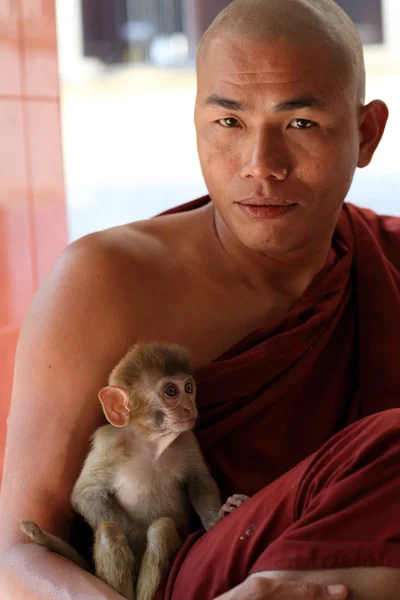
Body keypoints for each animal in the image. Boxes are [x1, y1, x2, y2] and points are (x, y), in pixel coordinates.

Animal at [21, 342, 248, 600]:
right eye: (171, 391)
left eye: (189, 388)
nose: (190, 406)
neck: (150, 441)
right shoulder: (107, 444)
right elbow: (86, 494)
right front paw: (138, 541)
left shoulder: (187, 438)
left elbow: (198, 479)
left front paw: (217, 517)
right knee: (109, 532)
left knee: (161, 530)